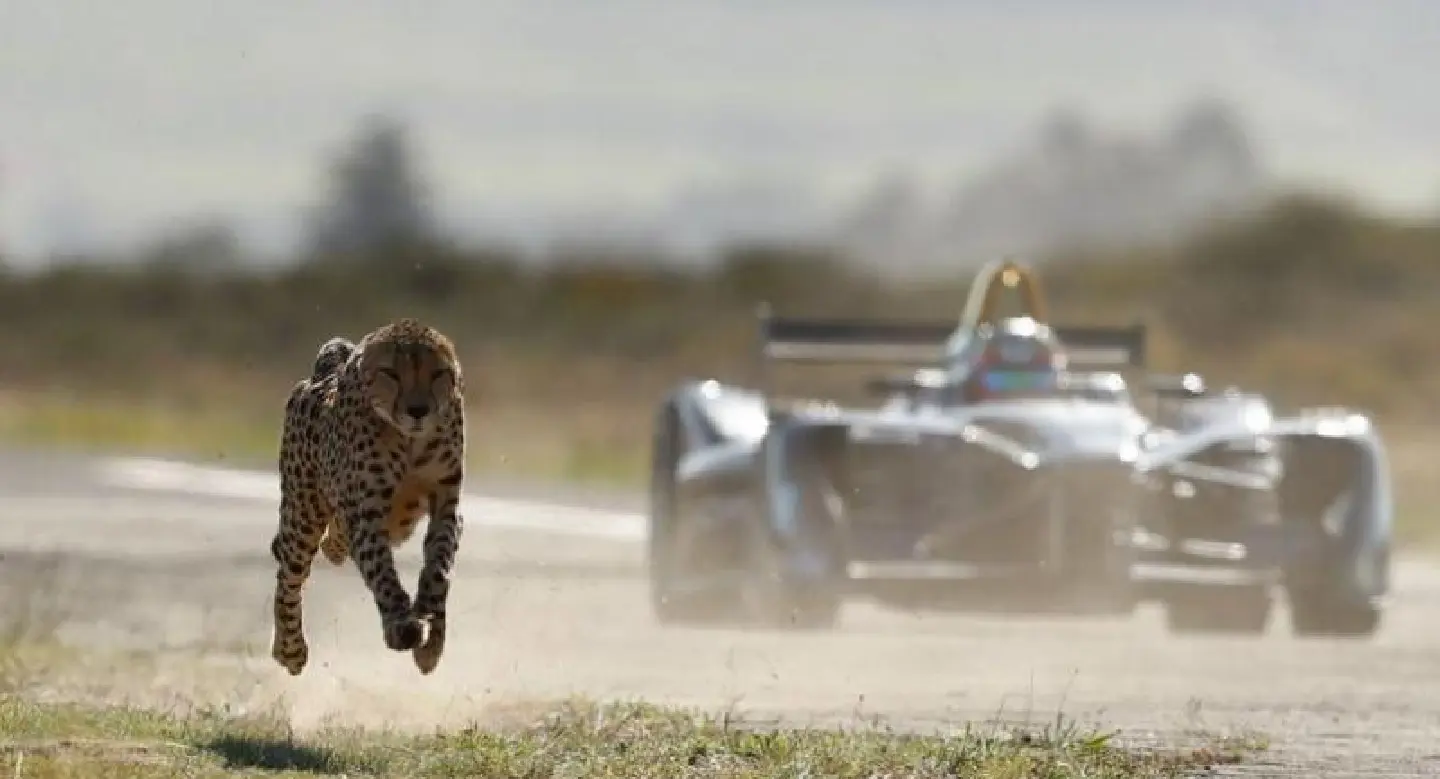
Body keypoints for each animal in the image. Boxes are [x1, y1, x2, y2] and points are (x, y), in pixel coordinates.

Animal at [269, 317, 466, 676]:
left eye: (437, 374)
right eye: (391, 373)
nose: (418, 410)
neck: (409, 441)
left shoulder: (447, 506)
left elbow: (439, 568)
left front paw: (431, 636)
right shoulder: (365, 513)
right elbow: (380, 569)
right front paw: (402, 623)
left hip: (393, 521)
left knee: (334, 542)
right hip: (303, 515)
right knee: (289, 573)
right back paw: (289, 649)